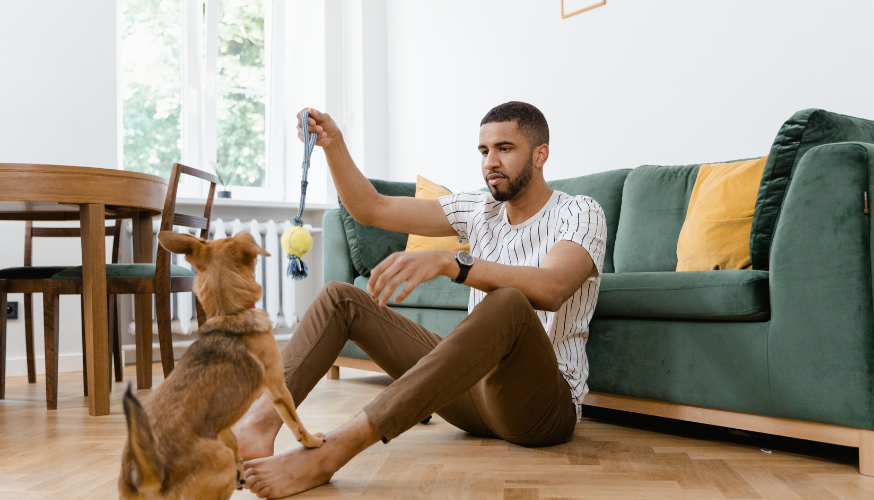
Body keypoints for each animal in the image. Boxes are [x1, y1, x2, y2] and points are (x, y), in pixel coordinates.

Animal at [115, 231, 320, 500]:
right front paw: (312, 441)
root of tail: (151, 476)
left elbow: (232, 439)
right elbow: (295, 422)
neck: (229, 314)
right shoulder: (278, 388)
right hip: (219, 462)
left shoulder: (222, 424)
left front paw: (241, 464)